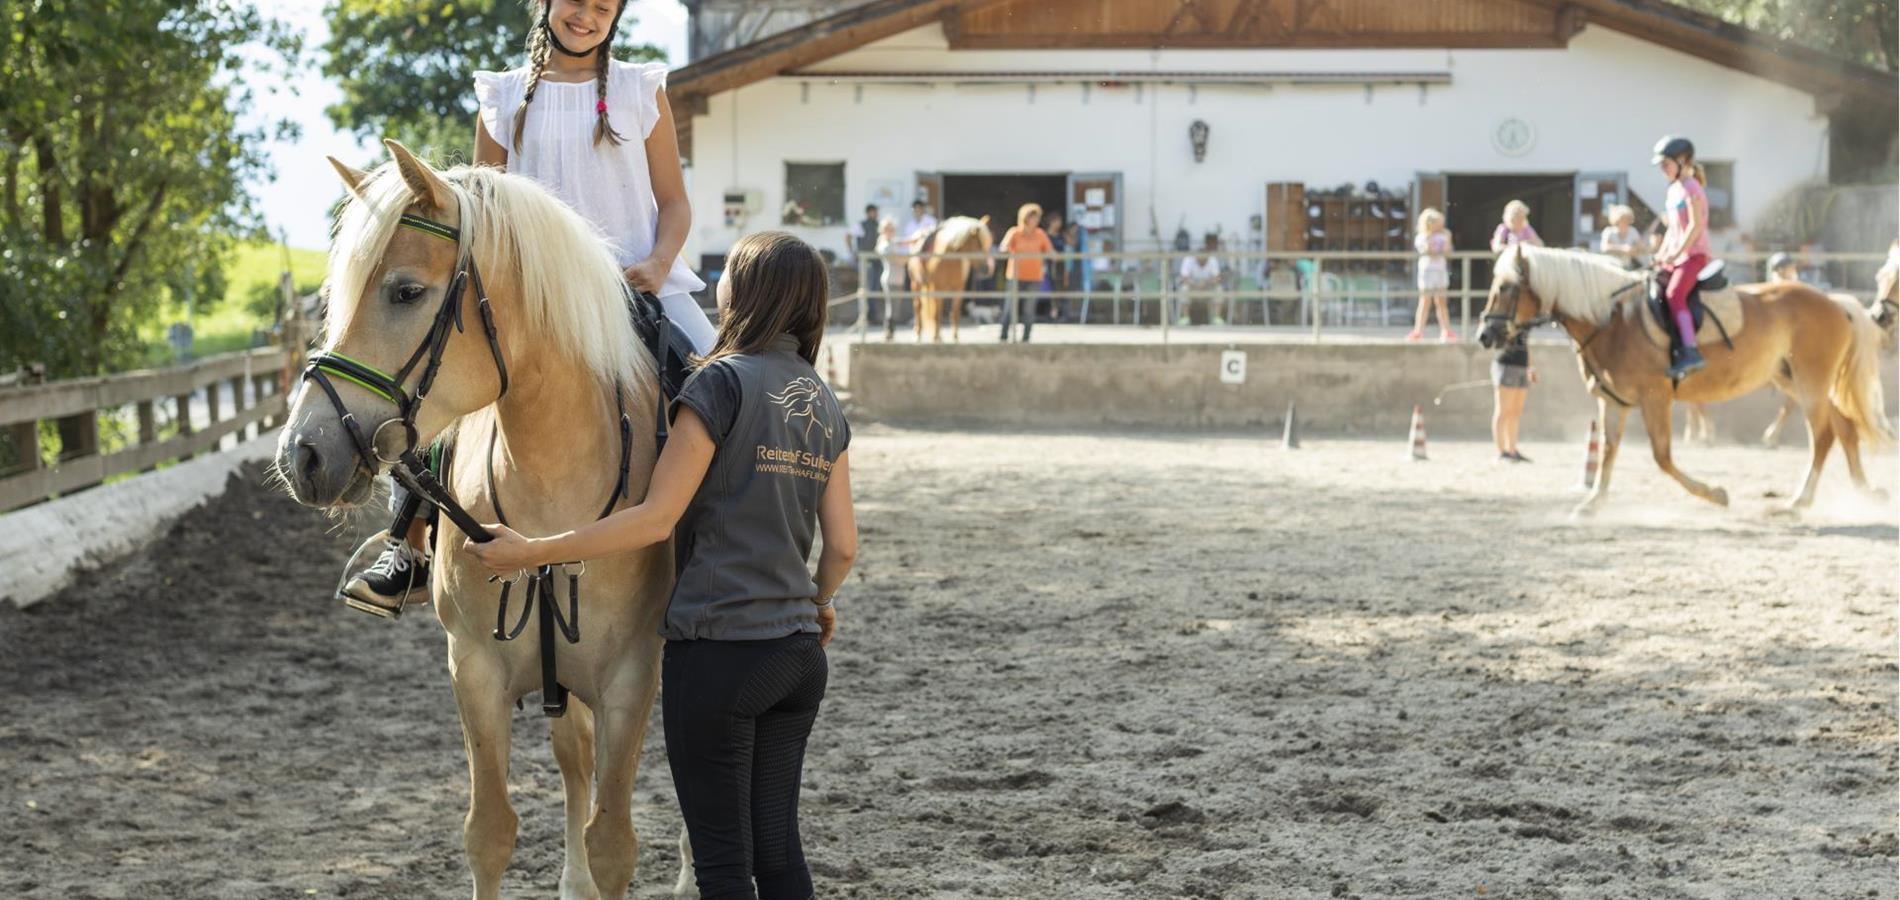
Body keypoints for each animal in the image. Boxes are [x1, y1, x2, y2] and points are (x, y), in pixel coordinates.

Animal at [277, 136, 695, 896]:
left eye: (406, 291)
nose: (303, 454)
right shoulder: (473, 669)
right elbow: (491, 832)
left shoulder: (629, 677)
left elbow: (616, 840)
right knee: (572, 754)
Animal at [1482, 243, 1900, 516]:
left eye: (1506, 288)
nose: (1485, 335)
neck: (1614, 321)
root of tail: (1836, 303)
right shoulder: (1613, 401)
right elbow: (1608, 450)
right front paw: (1593, 502)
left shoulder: (1655, 399)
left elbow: (1663, 457)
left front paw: (1715, 494)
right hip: (1793, 381)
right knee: (1845, 427)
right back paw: (1865, 490)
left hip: (1810, 383)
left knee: (1824, 436)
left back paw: (1800, 501)